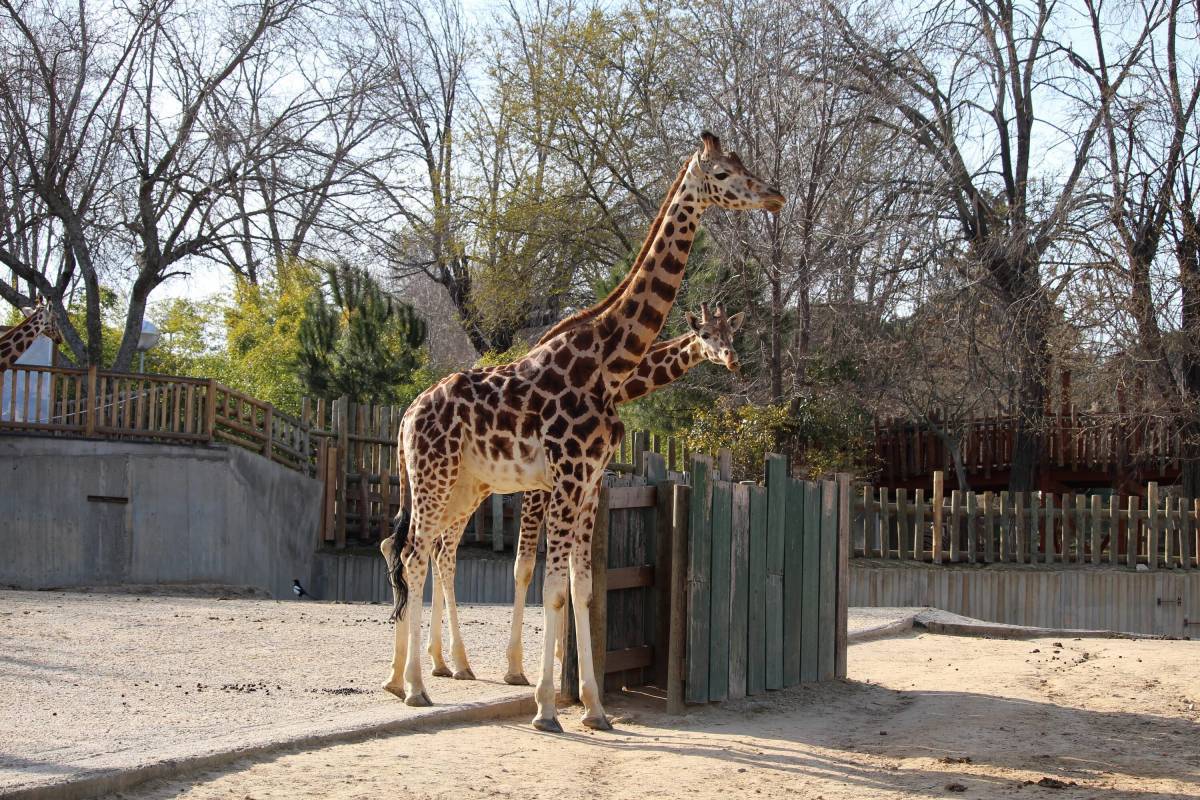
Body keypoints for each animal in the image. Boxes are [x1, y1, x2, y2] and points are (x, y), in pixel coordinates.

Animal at [420, 299, 739, 681]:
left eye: (732, 332)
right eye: (705, 333)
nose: (731, 357)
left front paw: (559, 658)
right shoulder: (544, 487)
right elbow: (526, 566)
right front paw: (517, 667)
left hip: (464, 491)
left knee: (438, 550)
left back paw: (441, 660)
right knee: (439, 551)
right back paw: (452, 662)